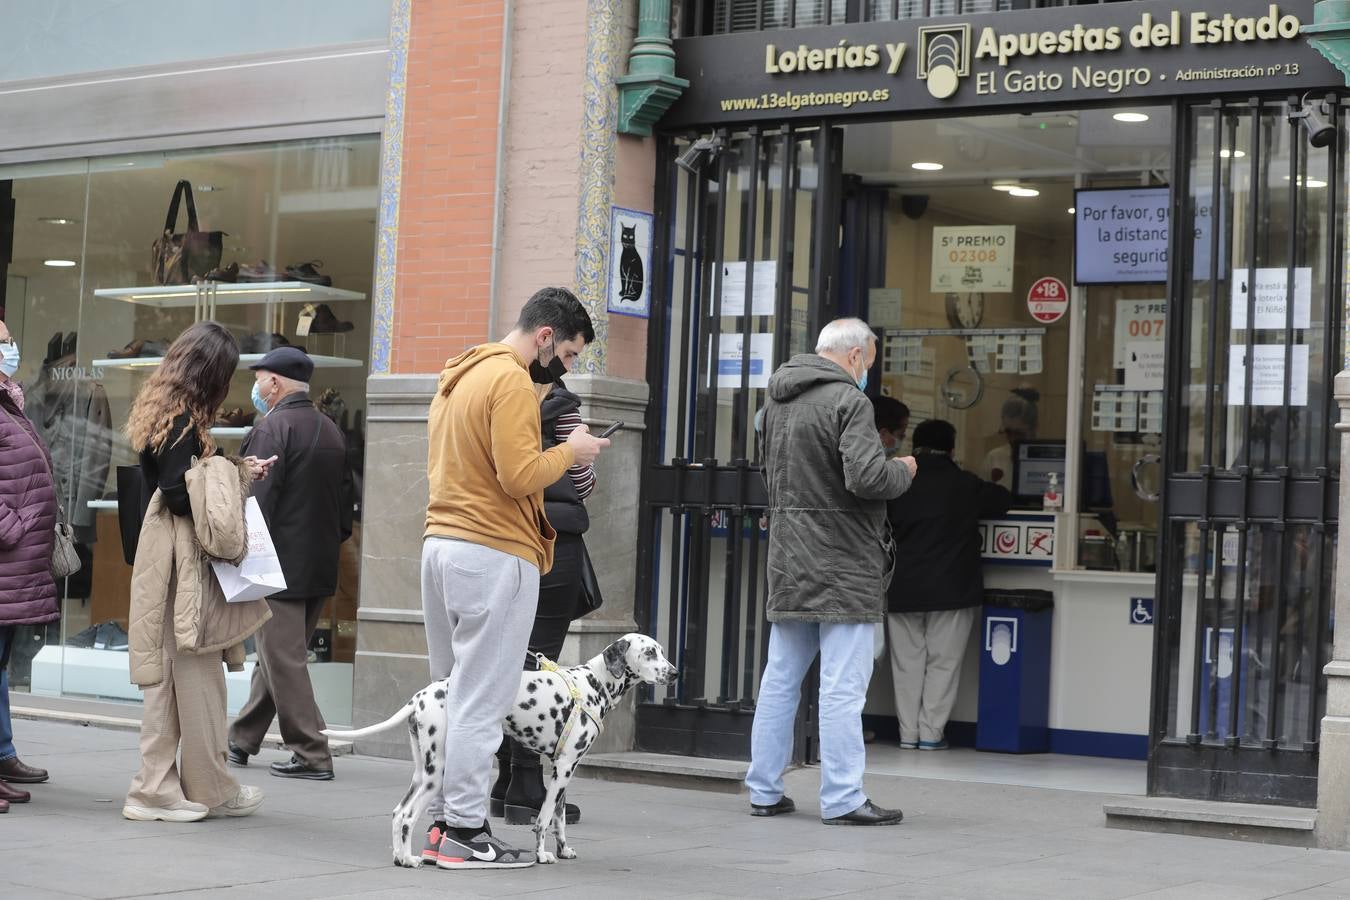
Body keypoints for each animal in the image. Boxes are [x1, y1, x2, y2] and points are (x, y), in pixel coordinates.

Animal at [322, 634, 680, 863]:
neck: (594, 684)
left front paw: (563, 850)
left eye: (663, 650)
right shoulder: (563, 769)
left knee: (398, 813)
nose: (675, 673)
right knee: (408, 816)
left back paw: (400, 855)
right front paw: (542, 855)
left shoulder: (565, 771)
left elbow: (560, 818)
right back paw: (410, 859)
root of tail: (420, 697)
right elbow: (544, 819)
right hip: (437, 774)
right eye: (650, 653)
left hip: (422, 772)